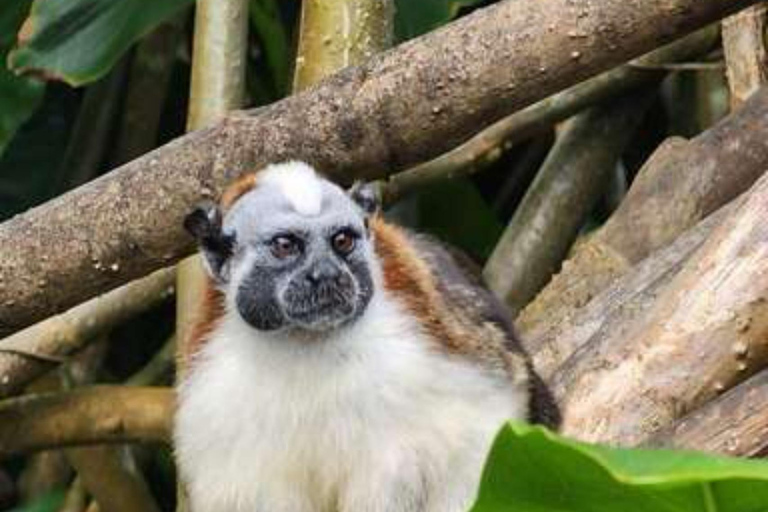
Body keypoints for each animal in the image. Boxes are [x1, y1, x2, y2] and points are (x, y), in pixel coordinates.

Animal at [174, 161, 560, 512]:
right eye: (286, 245)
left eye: (342, 241)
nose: (326, 274)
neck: (306, 342)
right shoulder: (216, 393)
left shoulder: (428, 350)